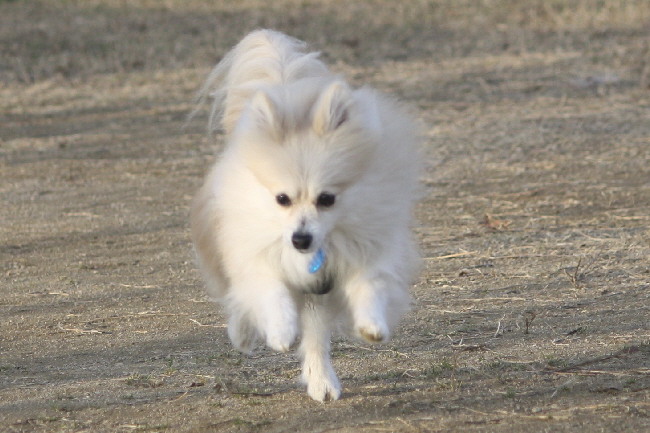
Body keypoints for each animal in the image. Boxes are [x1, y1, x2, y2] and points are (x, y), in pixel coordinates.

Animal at [190, 30, 420, 401]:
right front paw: (281, 332)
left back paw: (322, 382)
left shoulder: (359, 252)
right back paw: (244, 334)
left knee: (315, 339)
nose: (300, 239)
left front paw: (372, 325)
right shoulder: (259, 255)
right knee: (237, 296)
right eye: (282, 199)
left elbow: (368, 286)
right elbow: (270, 293)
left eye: (327, 199)